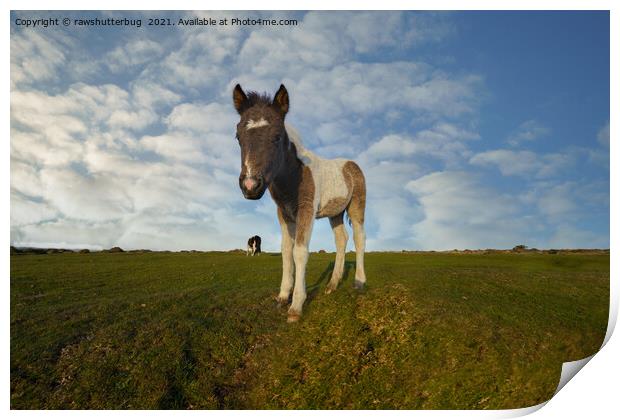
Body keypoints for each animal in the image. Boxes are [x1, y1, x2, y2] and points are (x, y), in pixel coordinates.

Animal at [232, 84, 368, 322]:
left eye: (277, 136)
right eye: (238, 136)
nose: (250, 186)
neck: (294, 174)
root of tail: (352, 164)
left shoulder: (307, 209)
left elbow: (300, 252)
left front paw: (296, 306)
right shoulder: (284, 213)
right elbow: (286, 252)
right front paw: (282, 297)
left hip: (356, 205)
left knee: (359, 238)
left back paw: (359, 282)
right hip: (335, 212)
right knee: (341, 239)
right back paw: (332, 285)